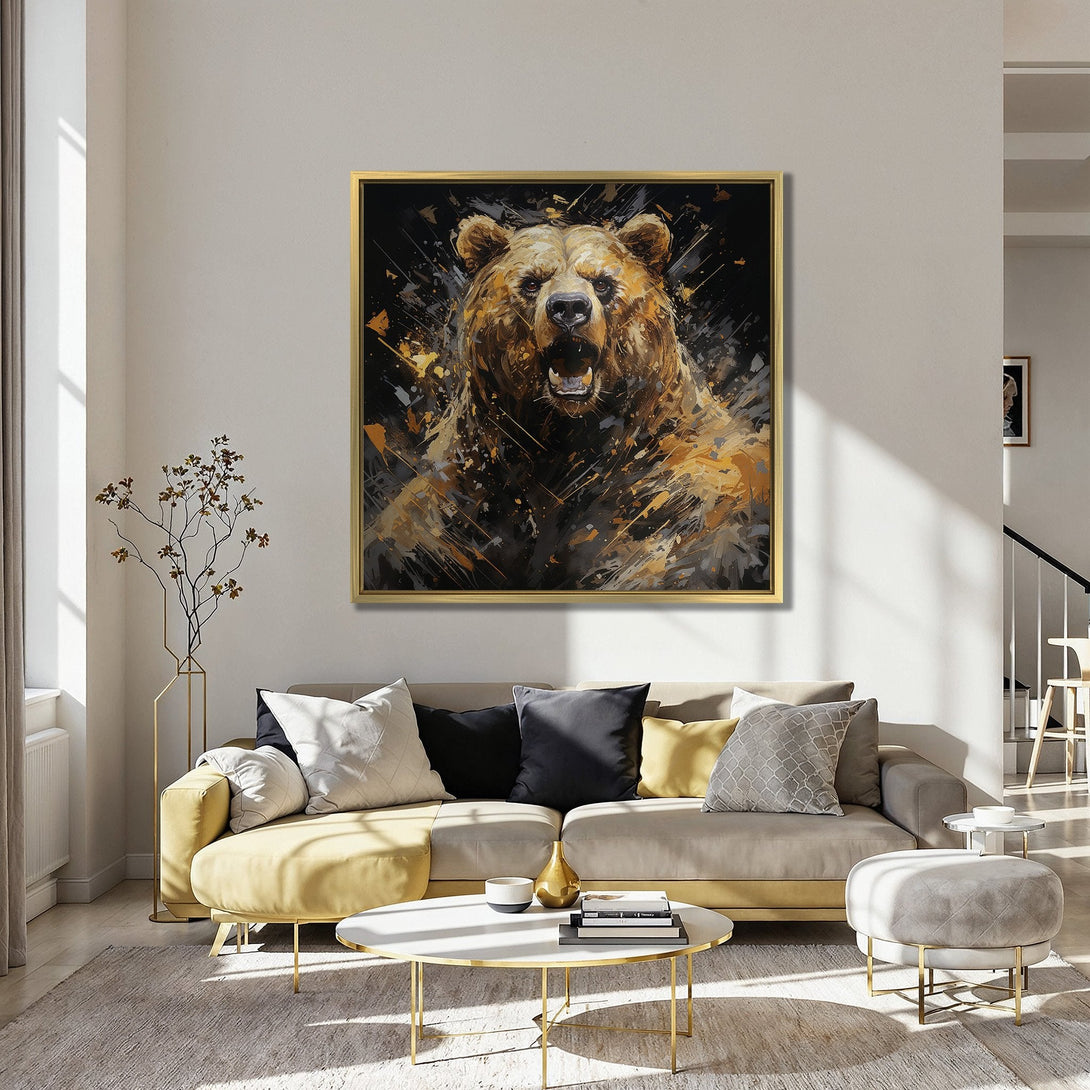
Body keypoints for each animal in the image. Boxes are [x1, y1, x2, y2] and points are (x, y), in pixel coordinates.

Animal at [364, 212, 770, 592]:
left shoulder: (672, 488)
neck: (566, 433)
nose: (570, 308)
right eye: (531, 282)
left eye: (602, 282)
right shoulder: (469, 481)